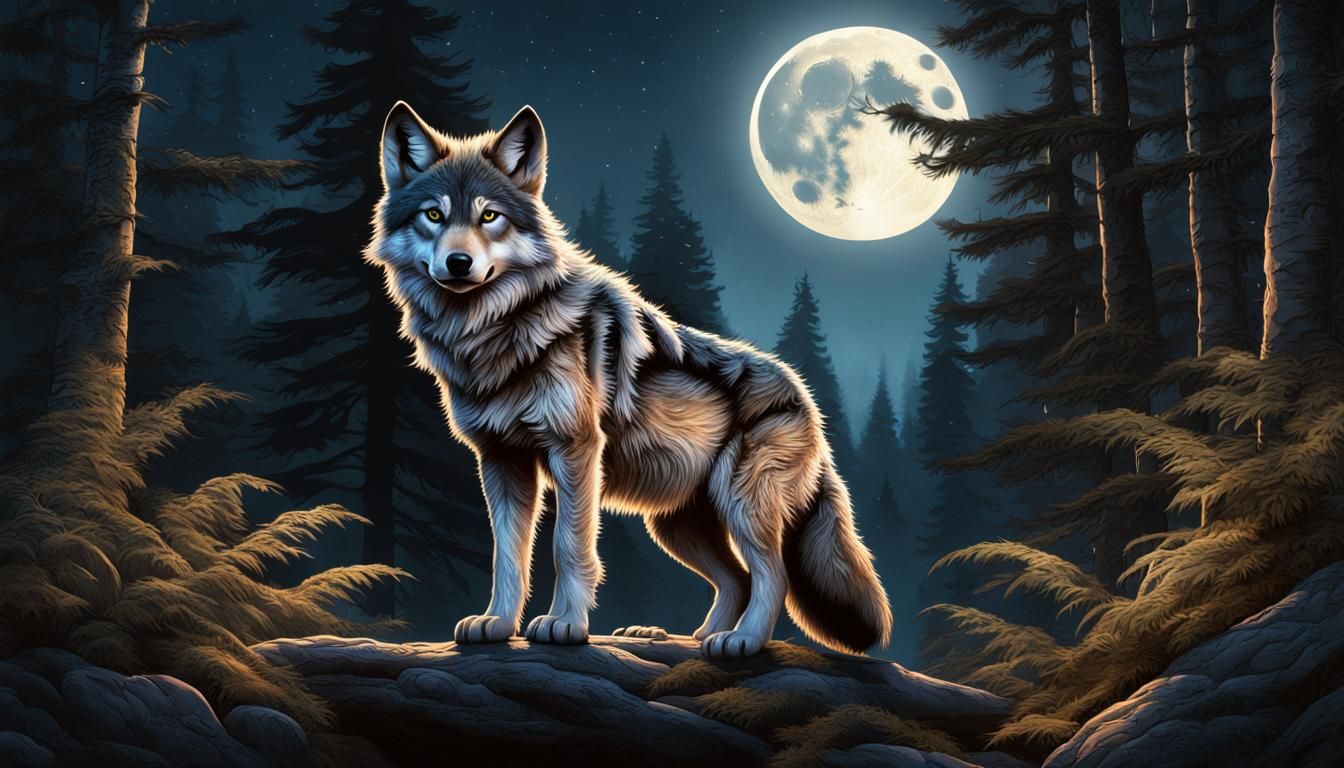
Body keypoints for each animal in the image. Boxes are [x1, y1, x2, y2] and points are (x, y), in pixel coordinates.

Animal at [365, 102, 893, 658]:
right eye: (434, 215)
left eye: (490, 216)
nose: (459, 262)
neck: (494, 331)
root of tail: (807, 398)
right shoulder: (501, 461)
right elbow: (507, 556)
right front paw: (497, 623)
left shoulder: (575, 449)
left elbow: (567, 546)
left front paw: (565, 625)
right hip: (675, 524)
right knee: (738, 578)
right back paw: (684, 636)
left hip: (742, 506)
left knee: (773, 575)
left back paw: (740, 640)